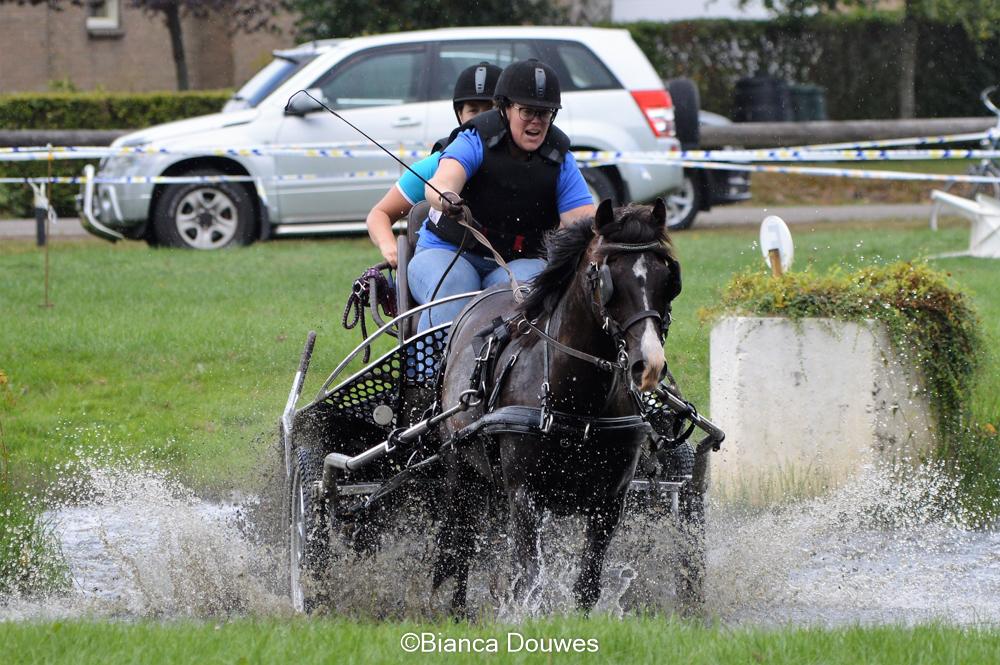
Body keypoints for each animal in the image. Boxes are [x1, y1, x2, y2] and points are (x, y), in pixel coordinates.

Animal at [430, 197, 682, 614]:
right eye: (607, 278)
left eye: (667, 278)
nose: (649, 364)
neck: (580, 405)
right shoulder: (524, 495)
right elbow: (530, 578)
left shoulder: (609, 500)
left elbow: (587, 581)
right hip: (461, 470)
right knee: (462, 544)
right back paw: (456, 610)